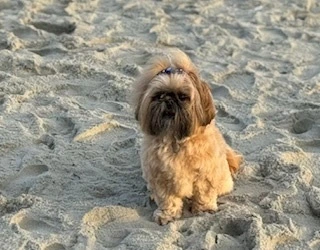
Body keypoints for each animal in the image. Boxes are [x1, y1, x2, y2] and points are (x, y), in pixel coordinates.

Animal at [131, 48, 241, 225]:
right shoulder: (162, 178)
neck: (175, 139)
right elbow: (168, 199)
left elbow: (204, 193)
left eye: (183, 97)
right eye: (159, 95)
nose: (169, 100)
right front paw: (166, 214)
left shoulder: (205, 174)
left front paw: (203, 209)